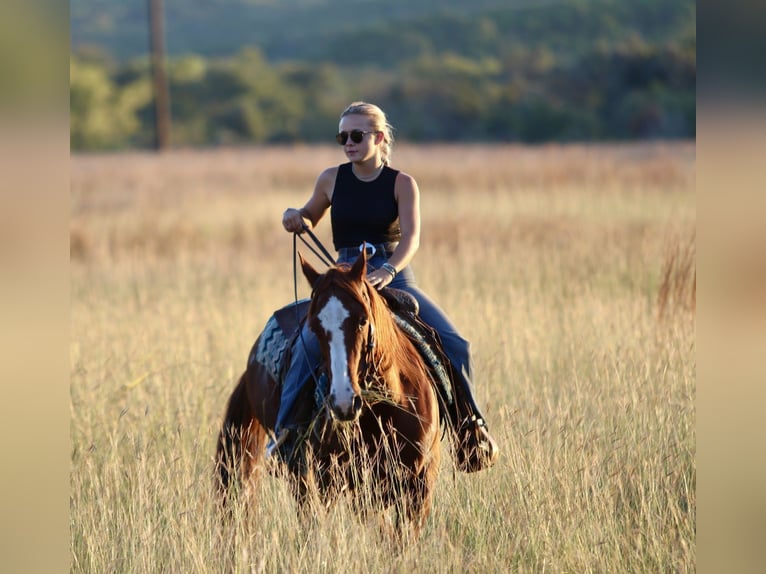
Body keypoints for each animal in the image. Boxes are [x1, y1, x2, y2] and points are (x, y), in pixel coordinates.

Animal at [215, 249, 442, 536]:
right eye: (315, 326)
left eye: (362, 320)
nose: (343, 402)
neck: (388, 405)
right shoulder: (352, 485)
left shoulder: (421, 484)